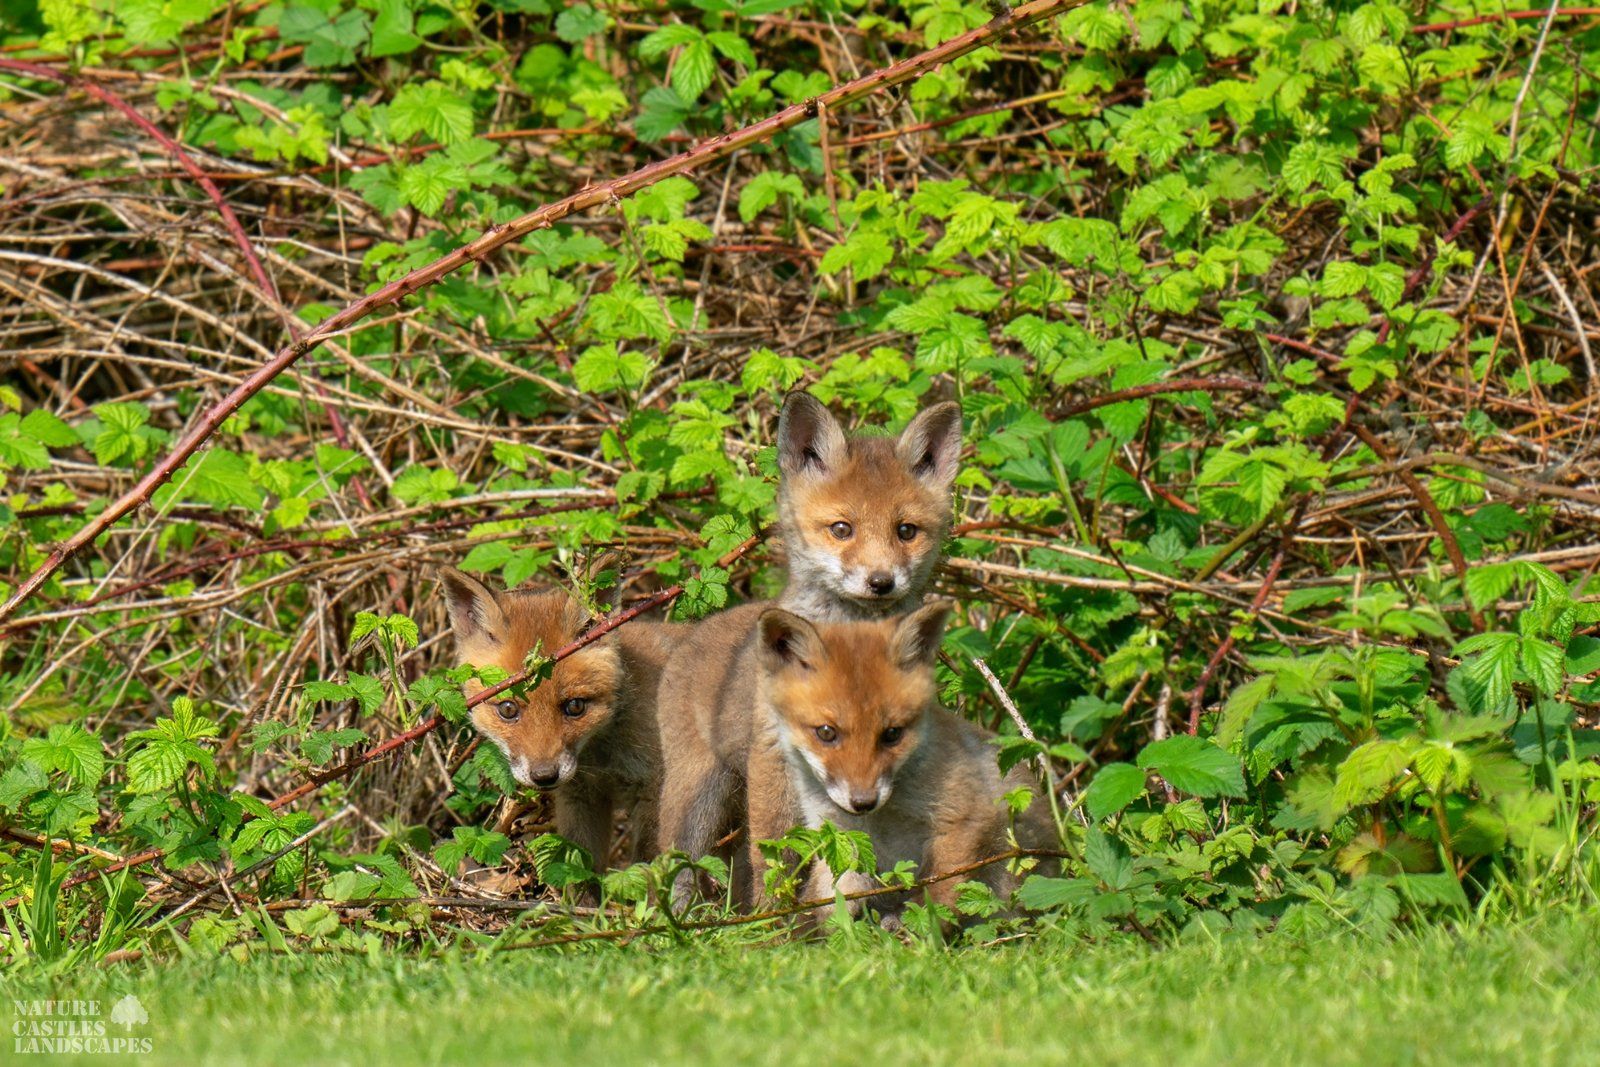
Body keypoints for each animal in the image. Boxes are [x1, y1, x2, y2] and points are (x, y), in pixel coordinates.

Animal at [440, 566, 673, 871]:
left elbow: (652, 864)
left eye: (575, 706)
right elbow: (582, 871)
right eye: (508, 709)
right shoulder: (579, 797)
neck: (602, 755)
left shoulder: (657, 791)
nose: (544, 776)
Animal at [654, 392, 964, 901]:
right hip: (698, 794)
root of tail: (697, 629)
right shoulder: (774, 753)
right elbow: (774, 854)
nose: (881, 582)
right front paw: (770, 915)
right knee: (672, 862)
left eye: (906, 531)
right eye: (841, 529)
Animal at [745, 601, 1055, 916]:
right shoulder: (842, 838)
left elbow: (938, 894)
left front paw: (915, 924)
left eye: (892, 733)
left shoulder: (965, 819)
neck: (880, 819)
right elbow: (834, 907)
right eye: (826, 732)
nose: (863, 802)